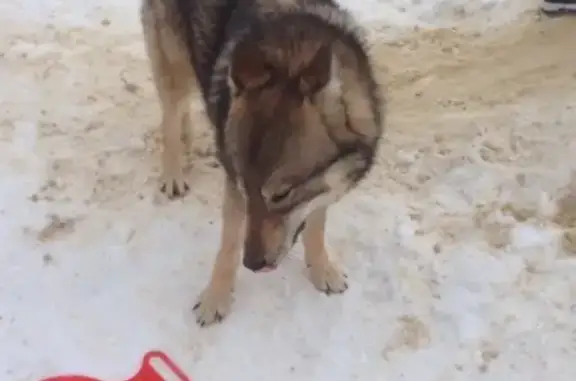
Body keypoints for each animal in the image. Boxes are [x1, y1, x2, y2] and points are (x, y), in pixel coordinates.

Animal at [140, 0, 384, 326]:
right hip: (173, 65)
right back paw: (173, 174)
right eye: (246, 189)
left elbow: (315, 226)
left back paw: (189, 140)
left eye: (281, 194)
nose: (253, 264)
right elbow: (229, 244)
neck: (291, 58)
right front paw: (215, 299)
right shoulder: (233, 188)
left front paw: (322, 270)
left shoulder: (327, 185)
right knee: (170, 116)